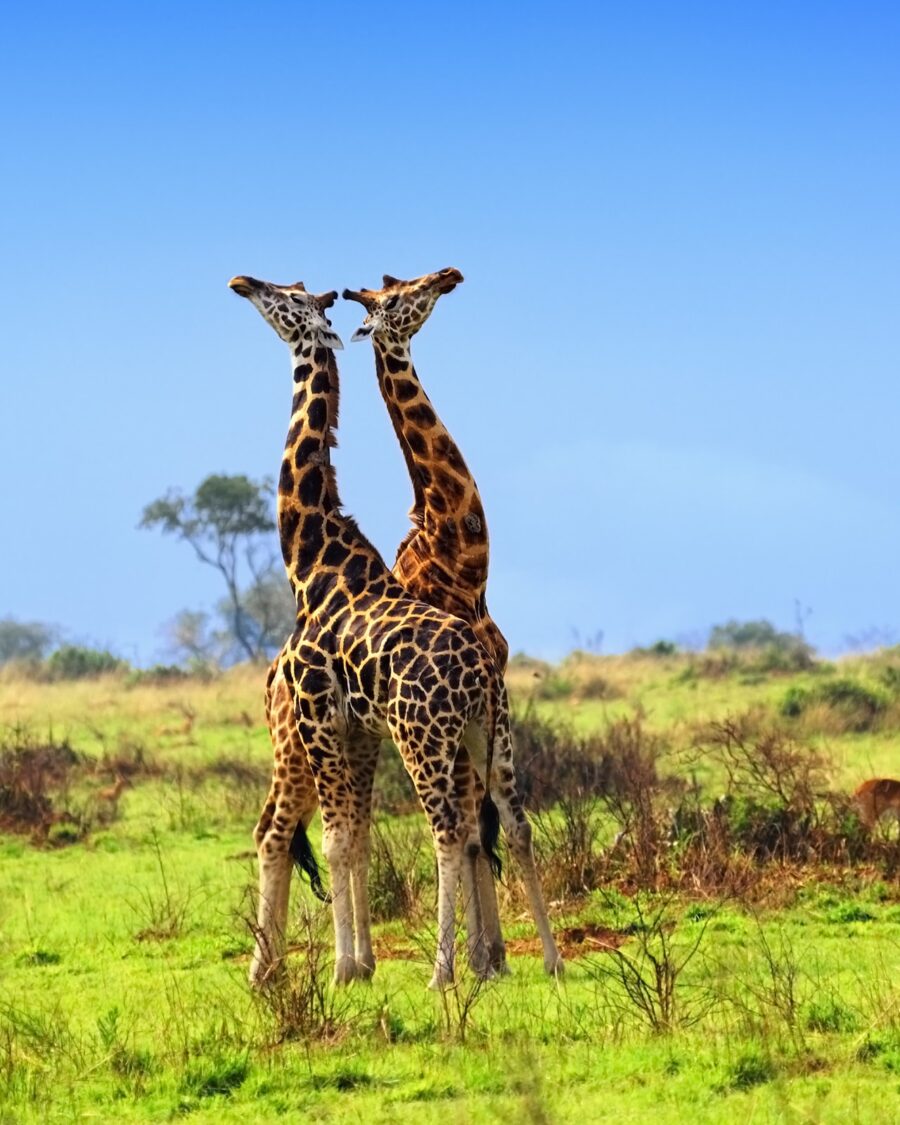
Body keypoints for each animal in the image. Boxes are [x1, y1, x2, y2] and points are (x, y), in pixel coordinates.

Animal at [228, 274, 561, 990]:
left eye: (287, 298)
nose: (242, 282)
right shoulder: (350, 728)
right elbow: (355, 836)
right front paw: (367, 963)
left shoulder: (328, 718)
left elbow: (347, 839)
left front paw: (351, 968)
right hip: (479, 730)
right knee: (508, 818)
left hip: (412, 736)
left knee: (441, 829)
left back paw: (432, 972)